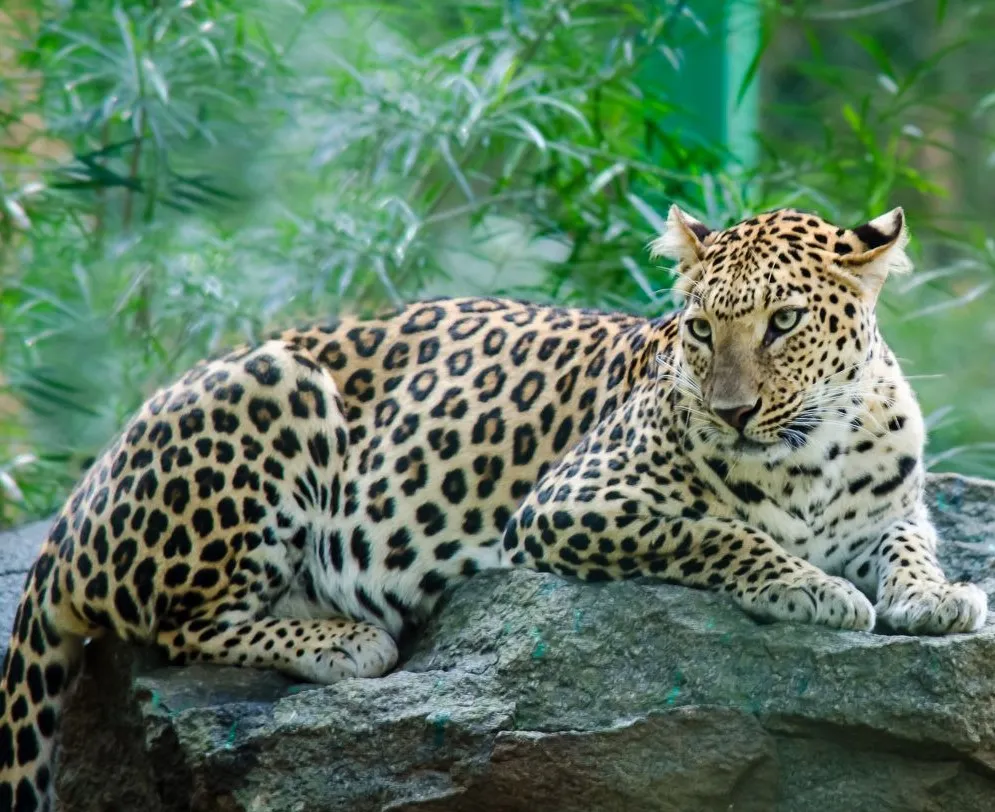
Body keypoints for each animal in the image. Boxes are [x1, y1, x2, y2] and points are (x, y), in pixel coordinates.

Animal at [0, 205, 987, 810]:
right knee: (179, 626)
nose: (731, 411)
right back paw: (342, 640)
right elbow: (718, 532)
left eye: (783, 322)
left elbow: (909, 543)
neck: (812, 450)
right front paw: (813, 588)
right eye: (701, 329)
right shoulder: (571, 505)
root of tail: (78, 500)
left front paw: (938, 596)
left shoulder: (893, 507)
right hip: (274, 386)